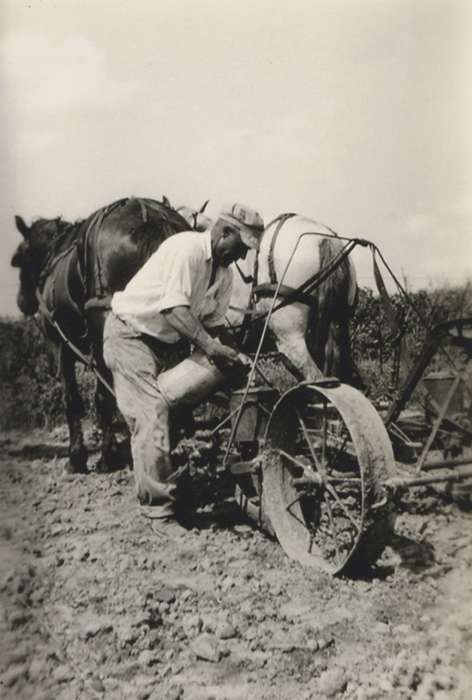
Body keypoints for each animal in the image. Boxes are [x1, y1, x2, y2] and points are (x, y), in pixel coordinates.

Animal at [11, 194, 188, 474]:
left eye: (18, 259)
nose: (23, 302)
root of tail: (148, 215)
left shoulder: (60, 346)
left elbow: (74, 399)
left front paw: (78, 457)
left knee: (110, 394)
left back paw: (108, 457)